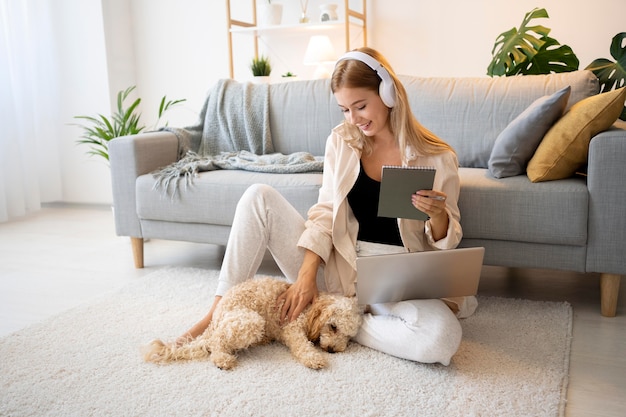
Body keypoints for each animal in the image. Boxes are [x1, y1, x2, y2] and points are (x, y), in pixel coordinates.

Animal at [139, 276, 358, 368]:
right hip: (250, 321)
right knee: (216, 343)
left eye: (348, 337)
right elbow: (303, 347)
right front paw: (314, 358)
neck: (311, 306)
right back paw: (222, 359)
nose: (332, 350)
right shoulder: (292, 327)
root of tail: (215, 318)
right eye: (333, 326)